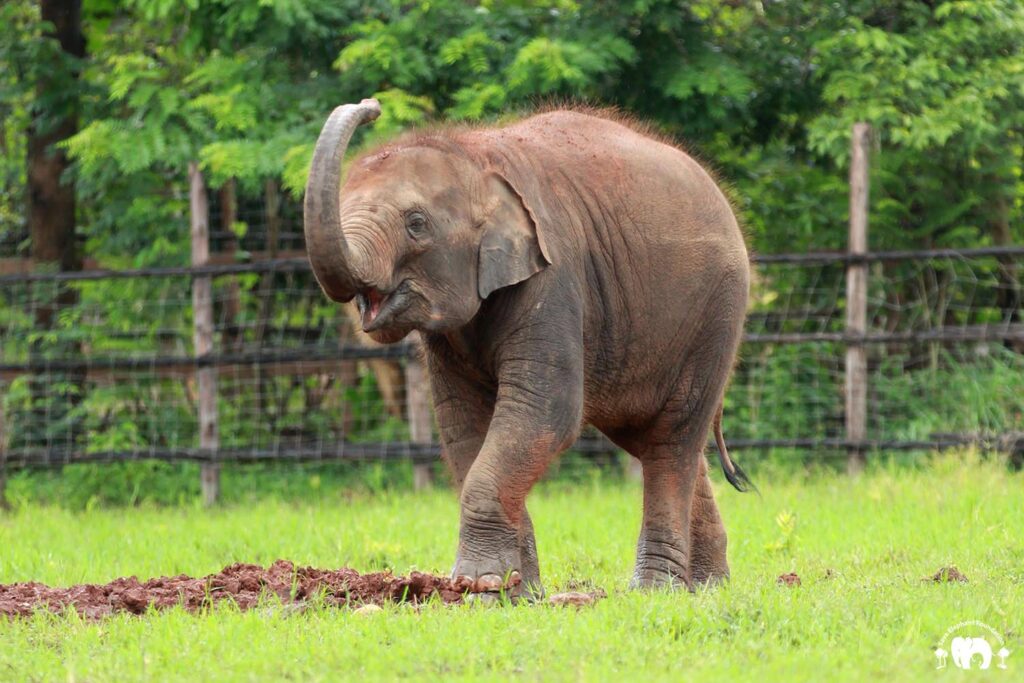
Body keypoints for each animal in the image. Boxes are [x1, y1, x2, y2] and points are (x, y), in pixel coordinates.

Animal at [304, 98, 754, 599]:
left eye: (416, 224)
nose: (371, 105)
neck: (475, 157)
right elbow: (462, 423)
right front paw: (512, 593)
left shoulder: (554, 277)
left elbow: (544, 412)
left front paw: (478, 583)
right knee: (660, 438)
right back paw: (710, 587)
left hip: (716, 314)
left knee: (671, 440)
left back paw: (656, 590)